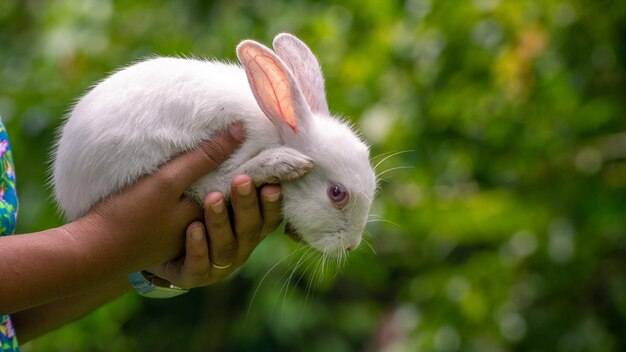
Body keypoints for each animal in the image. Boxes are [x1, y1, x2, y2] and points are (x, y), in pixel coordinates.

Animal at [52, 33, 376, 258]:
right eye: (337, 193)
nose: (351, 246)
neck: (276, 130)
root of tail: (68, 194)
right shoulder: (230, 159)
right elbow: (227, 179)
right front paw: (284, 163)